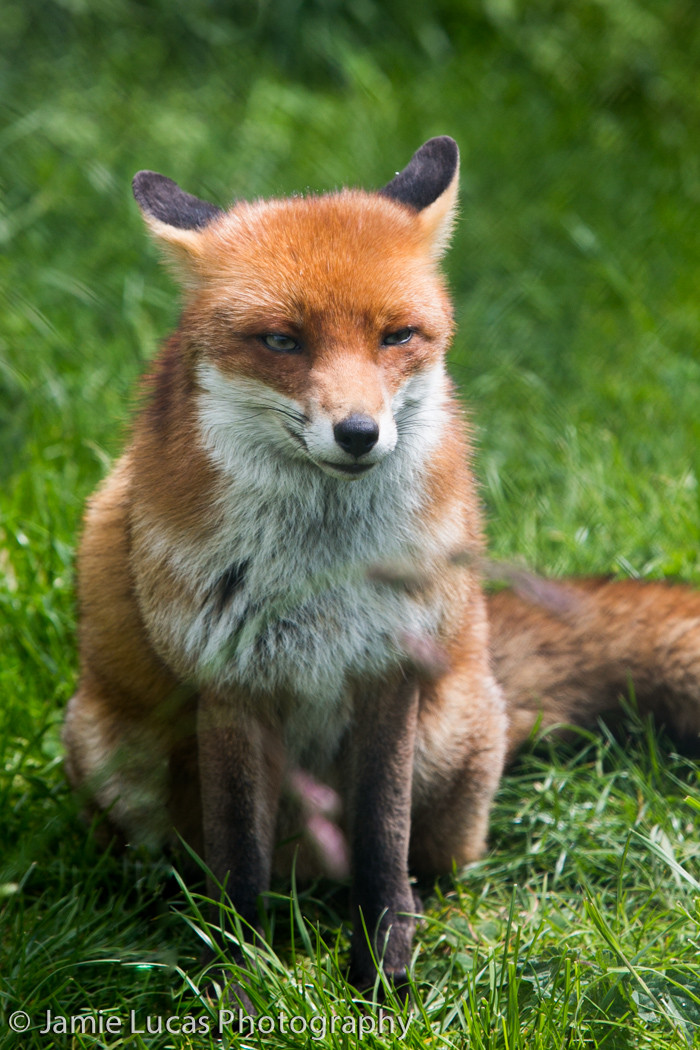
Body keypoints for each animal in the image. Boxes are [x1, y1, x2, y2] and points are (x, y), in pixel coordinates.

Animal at [63, 137, 700, 1001]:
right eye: (282, 340)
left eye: (397, 336)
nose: (359, 433)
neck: (321, 573)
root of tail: (306, 878)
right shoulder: (230, 681)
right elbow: (237, 859)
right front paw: (235, 972)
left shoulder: (390, 667)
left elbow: (380, 836)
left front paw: (384, 966)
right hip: (113, 755)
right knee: (179, 859)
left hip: (454, 747)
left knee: (434, 861)